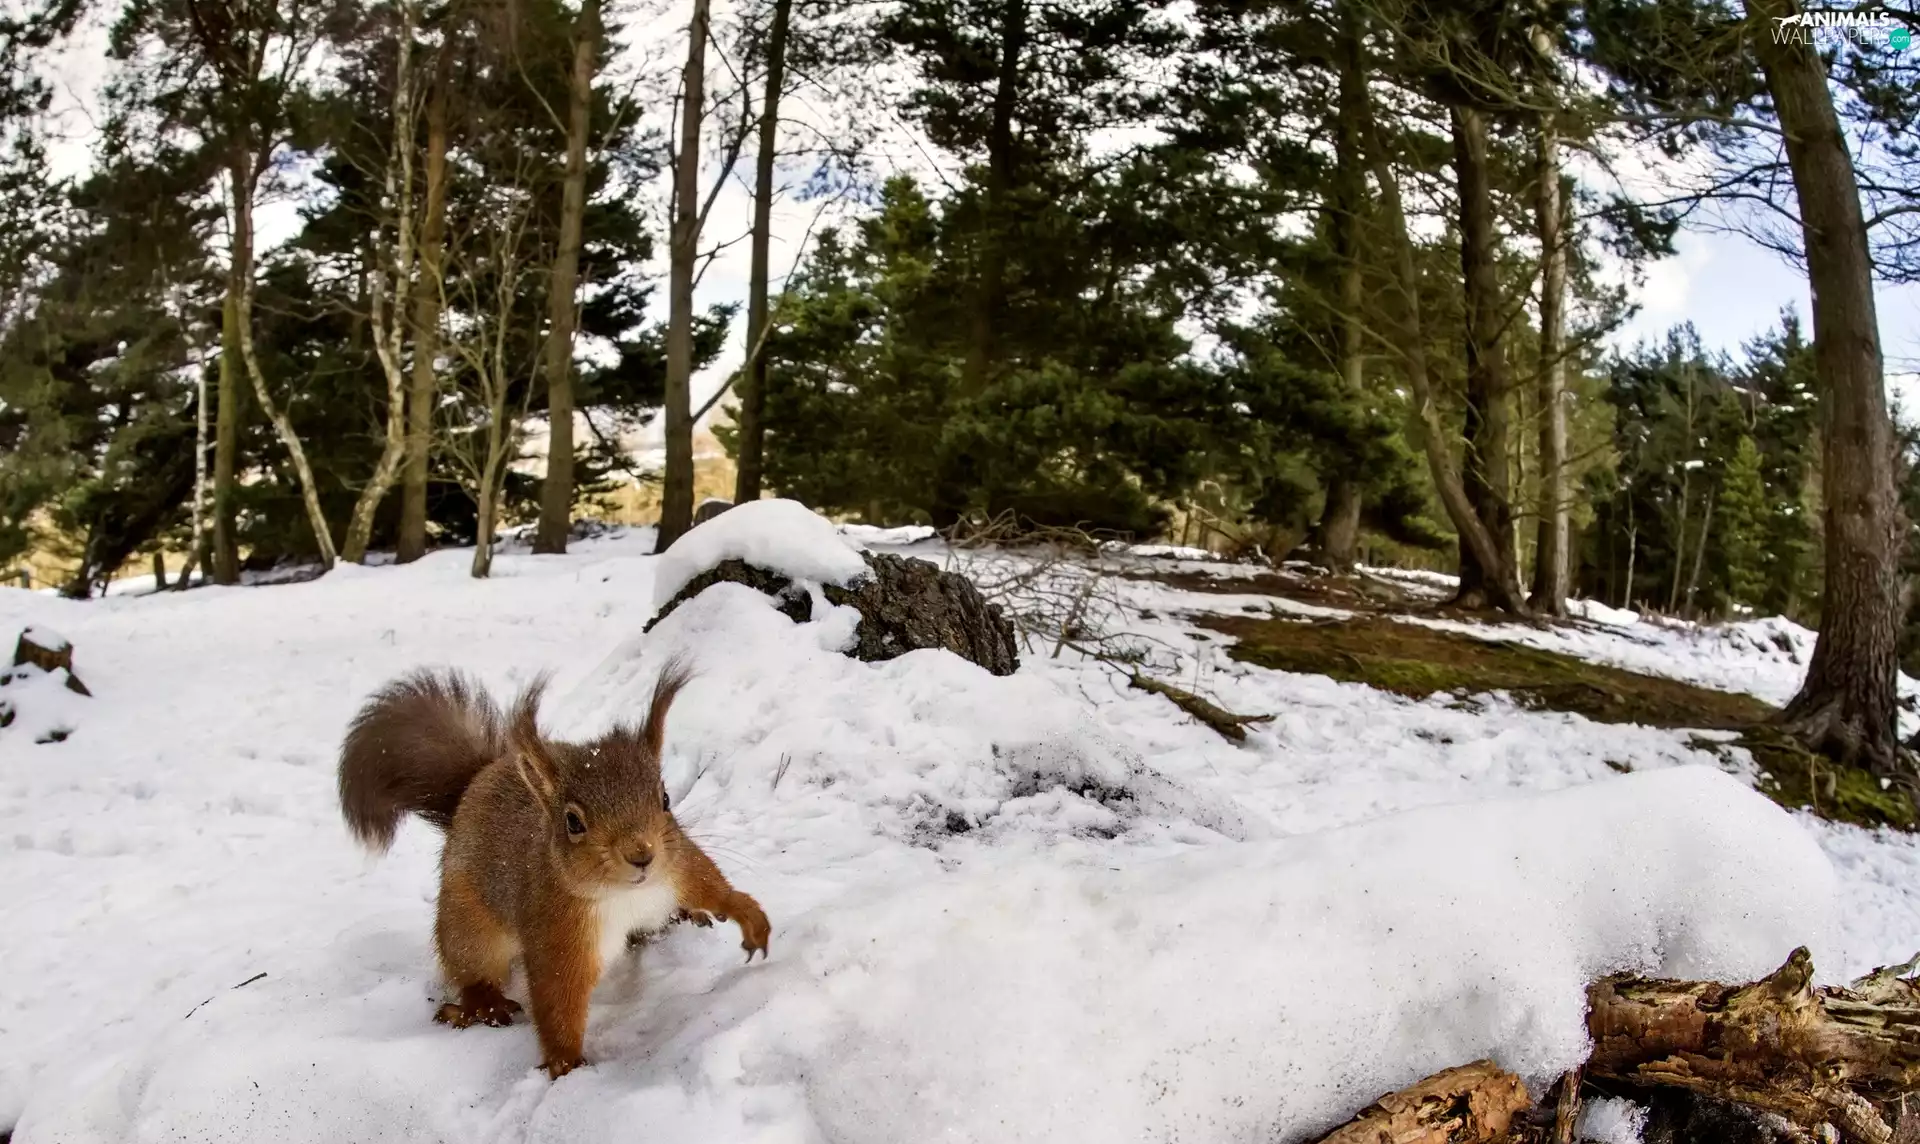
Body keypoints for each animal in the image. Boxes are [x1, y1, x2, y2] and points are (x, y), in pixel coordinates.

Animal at [336, 660, 769, 1079]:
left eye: (664, 798)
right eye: (573, 822)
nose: (641, 855)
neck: (626, 895)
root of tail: (472, 787)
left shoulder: (677, 867)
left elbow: (710, 885)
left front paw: (748, 915)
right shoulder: (557, 930)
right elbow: (557, 997)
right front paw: (566, 1063)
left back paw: (678, 919)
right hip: (468, 924)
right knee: (470, 968)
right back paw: (483, 1005)